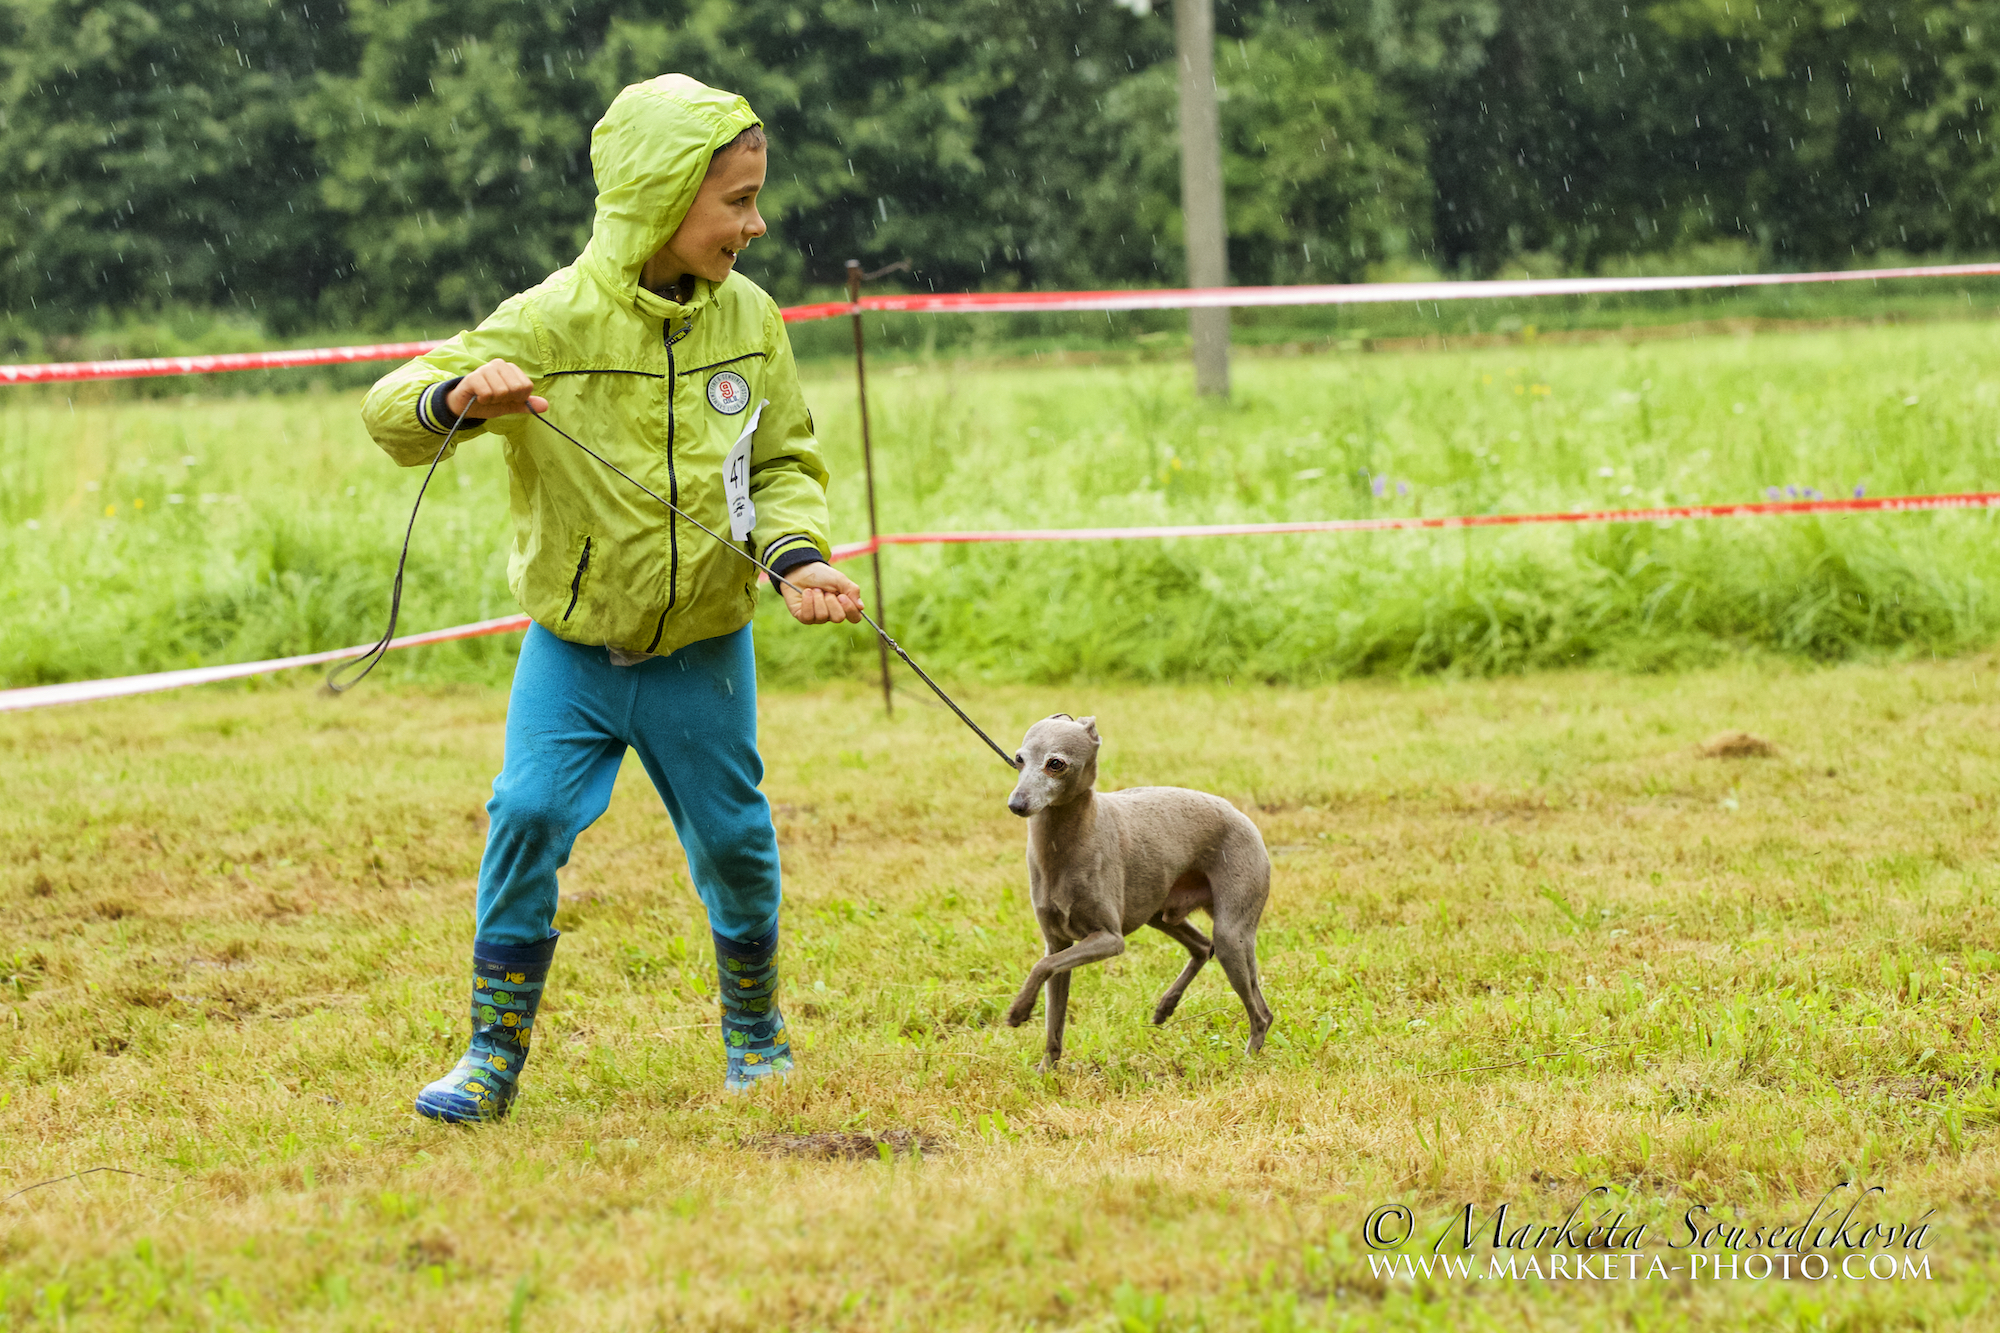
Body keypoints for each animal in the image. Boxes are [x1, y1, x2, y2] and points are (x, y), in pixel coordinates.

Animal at [1008, 712, 1272, 1064]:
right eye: (1019, 759)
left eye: (1056, 763)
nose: (1016, 804)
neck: (1063, 845)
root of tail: (1241, 815)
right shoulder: (1058, 943)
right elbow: (1054, 1016)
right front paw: (1045, 1069)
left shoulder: (1109, 938)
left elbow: (1041, 966)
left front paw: (1019, 1011)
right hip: (1160, 914)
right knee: (1203, 947)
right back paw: (1166, 1006)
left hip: (1232, 932)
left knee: (1261, 1012)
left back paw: (1248, 1056)